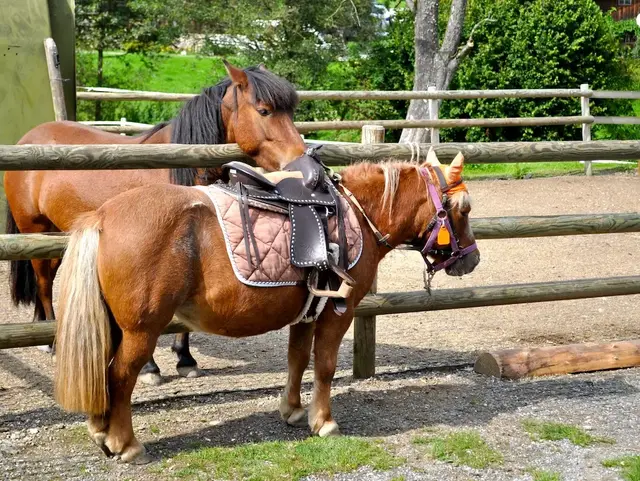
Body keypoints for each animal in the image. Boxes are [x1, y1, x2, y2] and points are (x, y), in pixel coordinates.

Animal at [4, 60, 306, 385]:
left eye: (291, 112)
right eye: (264, 110)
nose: (300, 159)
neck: (176, 169)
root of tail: (29, 137)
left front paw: (185, 359)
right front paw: (150, 368)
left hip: (57, 234)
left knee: (45, 278)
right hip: (34, 230)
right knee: (43, 282)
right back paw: (50, 341)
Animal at [52, 151, 480, 463]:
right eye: (463, 208)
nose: (472, 259)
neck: (358, 214)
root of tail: (102, 215)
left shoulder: (306, 311)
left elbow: (297, 359)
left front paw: (292, 410)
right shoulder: (337, 312)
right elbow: (325, 366)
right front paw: (323, 421)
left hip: (113, 325)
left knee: (101, 370)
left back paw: (101, 430)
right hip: (141, 330)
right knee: (120, 376)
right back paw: (126, 444)